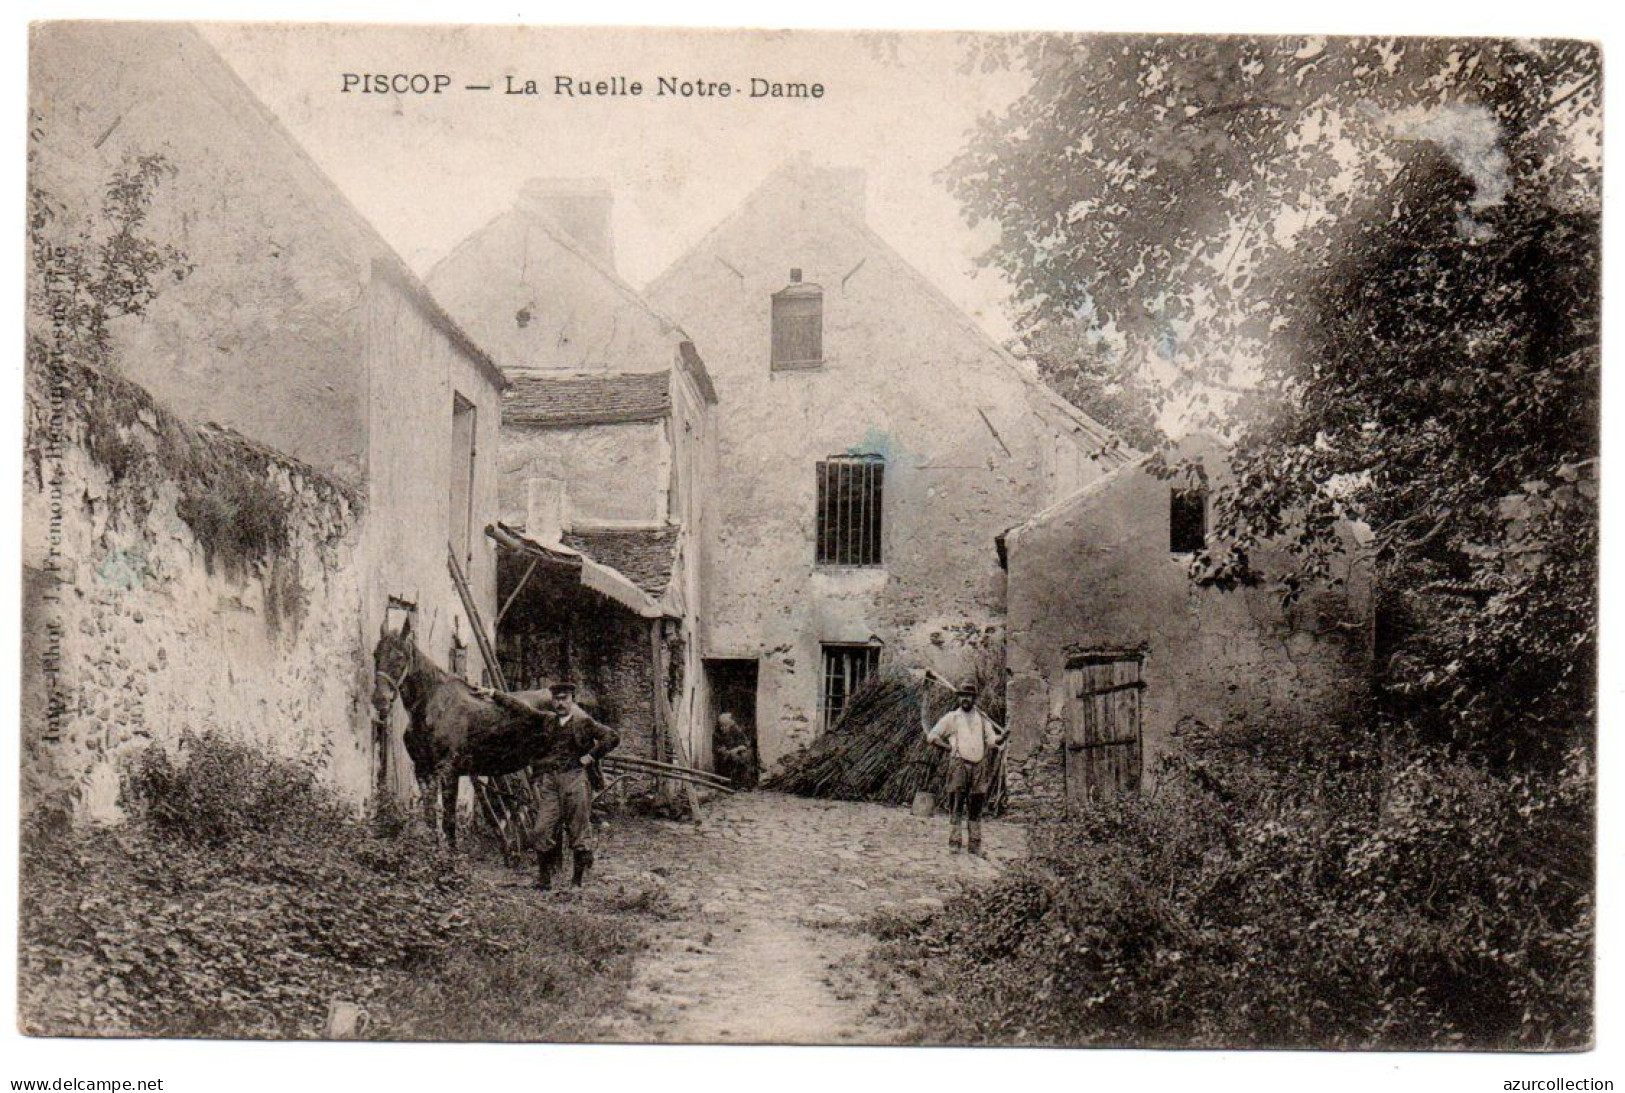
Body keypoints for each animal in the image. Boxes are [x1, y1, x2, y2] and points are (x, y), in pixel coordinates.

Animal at [372, 613, 562, 844]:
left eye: (400, 657)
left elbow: (449, 824)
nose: (380, 700)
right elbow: (430, 819)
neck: (432, 708)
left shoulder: (449, 772)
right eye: (375, 654)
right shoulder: (422, 770)